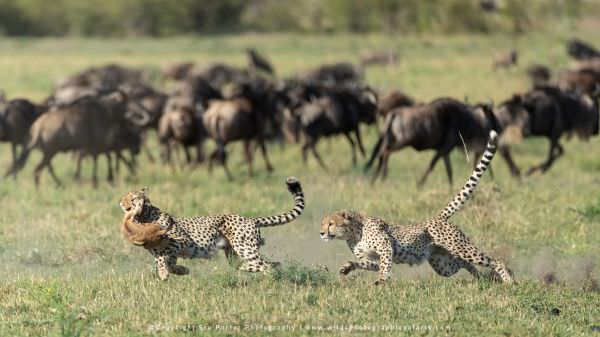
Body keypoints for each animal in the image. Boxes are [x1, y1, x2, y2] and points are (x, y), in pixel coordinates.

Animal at [119, 176, 304, 278]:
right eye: (125, 197)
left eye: (132, 197)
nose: (121, 202)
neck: (144, 216)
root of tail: (249, 218)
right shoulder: (168, 253)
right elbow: (166, 261)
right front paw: (181, 270)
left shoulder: (182, 241)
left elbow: (164, 255)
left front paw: (166, 272)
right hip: (233, 252)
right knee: (269, 264)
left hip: (244, 247)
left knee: (265, 265)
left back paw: (270, 281)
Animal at [318, 131, 510, 284]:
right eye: (322, 223)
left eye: (331, 224)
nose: (321, 233)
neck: (353, 232)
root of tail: (437, 218)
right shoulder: (371, 258)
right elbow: (364, 263)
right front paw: (347, 267)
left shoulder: (386, 249)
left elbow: (384, 267)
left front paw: (382, 281)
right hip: (443, 264)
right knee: (464, 263)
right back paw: (480, 278)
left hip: (461, 248)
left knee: (494, 260)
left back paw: (508, 280)